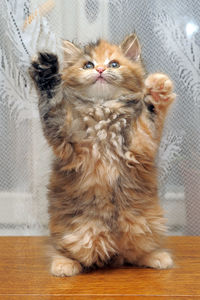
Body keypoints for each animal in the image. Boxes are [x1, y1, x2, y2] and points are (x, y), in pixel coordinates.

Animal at [29, 33, 175, 276]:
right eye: (88, 65)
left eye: (113, 64)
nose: (99, 69)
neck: (103, 109)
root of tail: (113, 251)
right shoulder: (66, 140)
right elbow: (52, 107)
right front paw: (47, 75)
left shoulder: (140, 145)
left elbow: (150, 118)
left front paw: (156, 91)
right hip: (75, 233)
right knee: (62, 248)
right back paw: (64, 264)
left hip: (145, 224)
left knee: (134, 254)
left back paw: (156, 256)